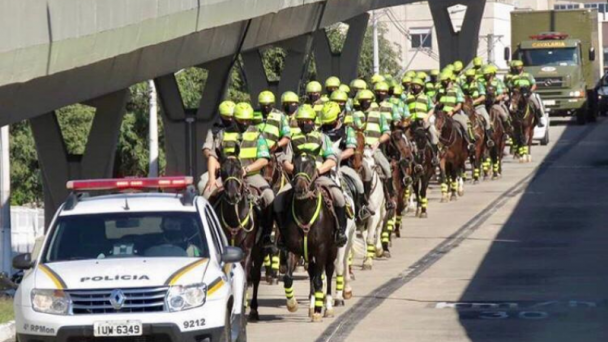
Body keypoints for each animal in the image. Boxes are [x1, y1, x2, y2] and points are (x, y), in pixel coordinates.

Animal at [216, 156, 264, 322]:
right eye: (222, 171)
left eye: (238, 169)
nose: (232, 196)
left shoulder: (247, 250)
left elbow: (245, 276)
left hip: (259, 250)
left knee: (255, 276)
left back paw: (254, 309)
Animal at [278, 154, 340, 322]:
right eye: (294, 164)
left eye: (312, 165)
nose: (300, 188)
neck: (305, 213)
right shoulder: (292, 248)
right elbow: (288, 278)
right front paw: (292, 304)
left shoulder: (321, 249)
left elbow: (319, 280)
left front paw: (319, 311)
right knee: (312, 272)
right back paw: (311, 307)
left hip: (332, 250)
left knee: (329, 272)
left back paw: (328, 308)